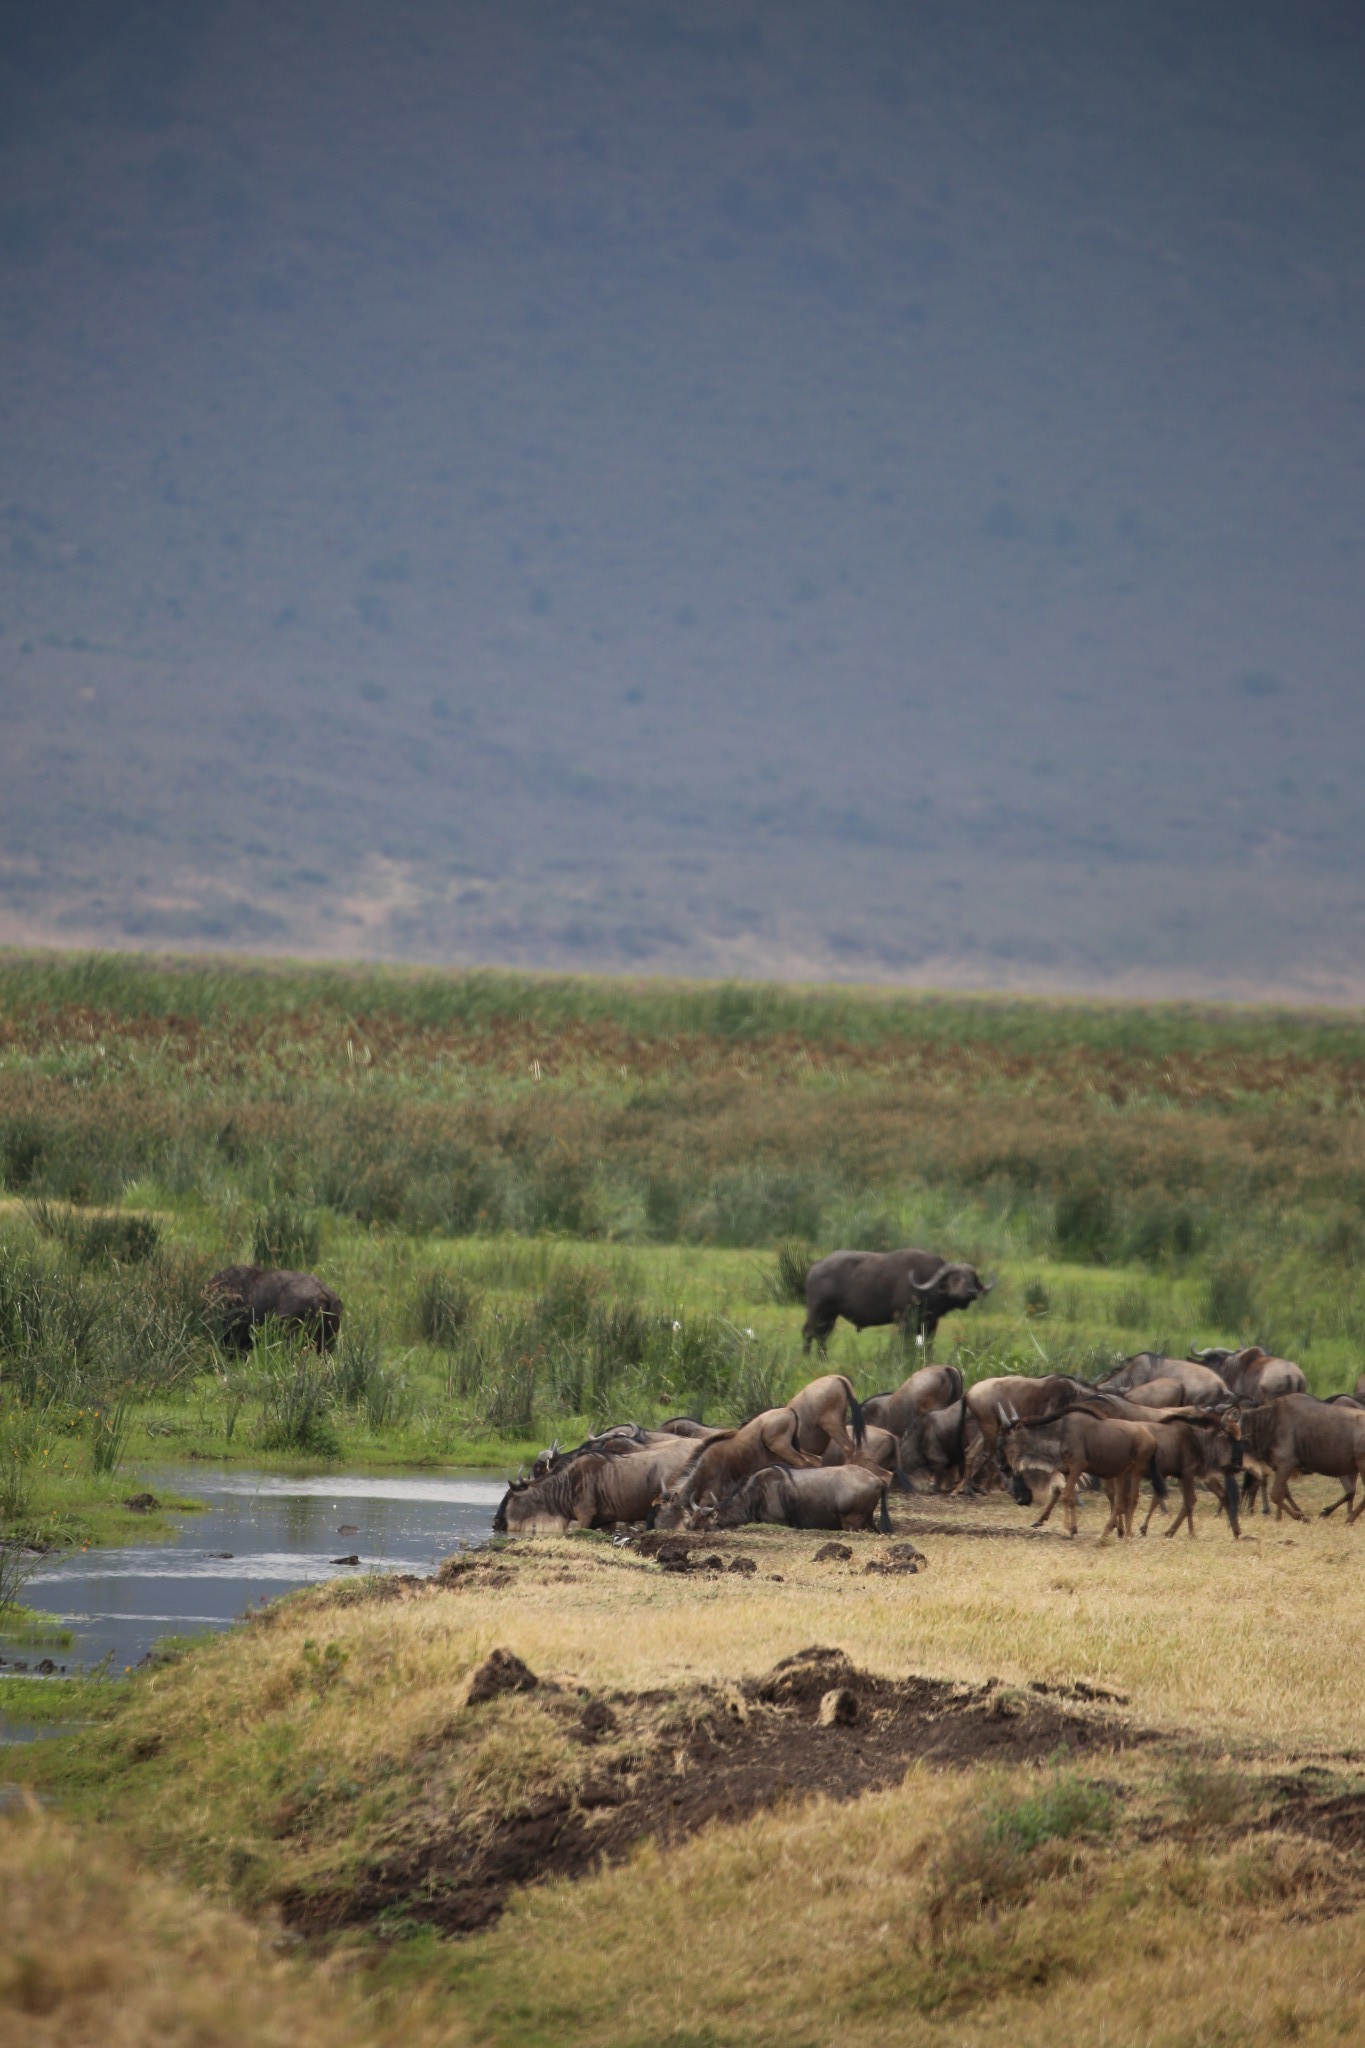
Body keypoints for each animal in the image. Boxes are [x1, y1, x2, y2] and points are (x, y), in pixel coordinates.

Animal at [802, 1245, 994, 1359]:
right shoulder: (904, 1320)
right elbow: (905, 1344)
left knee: (822, 1335)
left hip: (830, 1315)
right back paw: (806, 1358)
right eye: (955, 1278)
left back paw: (823, 1359)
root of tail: (815, 1267)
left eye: (971, 1278)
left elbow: (928, 1344)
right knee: (808, 1332)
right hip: (817, 1310)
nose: (971, 1292)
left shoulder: (931, 1323)